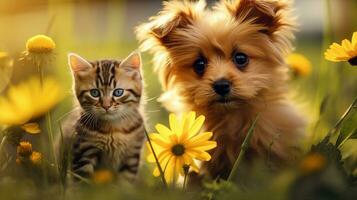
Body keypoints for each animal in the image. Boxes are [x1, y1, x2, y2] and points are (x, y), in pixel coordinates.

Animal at [59, 50, 145, 184]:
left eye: (118, 92)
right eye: (94, 93)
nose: (106, 106)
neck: (113, 129)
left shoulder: (131, 155)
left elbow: (125, 182)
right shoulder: (83, 152)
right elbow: (82, 182)